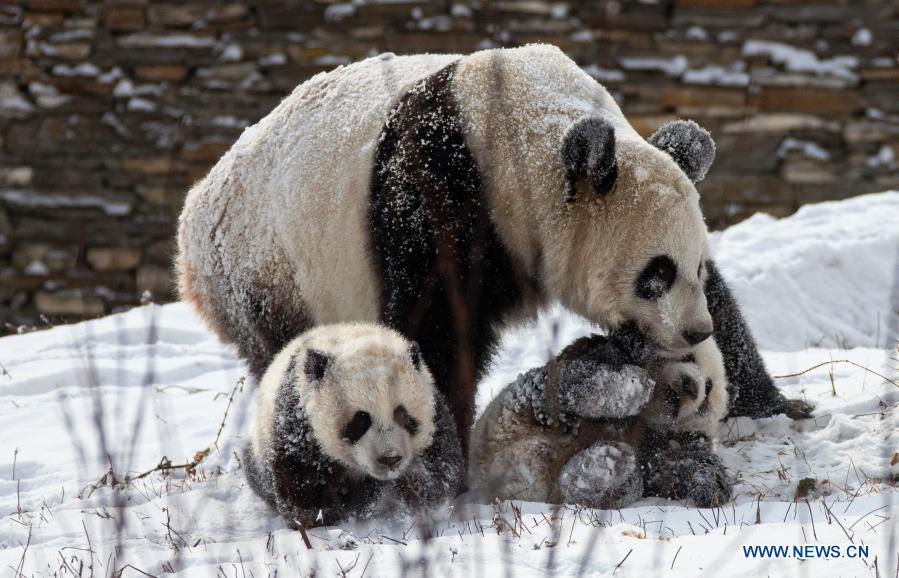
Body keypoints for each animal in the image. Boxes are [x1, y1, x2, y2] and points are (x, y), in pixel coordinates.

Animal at [179, 44, 812, 460]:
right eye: (655, 274)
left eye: (695, 267)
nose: (693, 332)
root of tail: (192, 217)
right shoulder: (435, 200)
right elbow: (434, 334)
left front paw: (770, 406)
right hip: (266, 271)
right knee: (283, 356)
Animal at [243, 322, 460, 524]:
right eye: (361, 419)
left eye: (401, 413)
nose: (390, 459)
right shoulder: (299, 419)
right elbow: (300, 471)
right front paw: (321, 515)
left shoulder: (433, 412)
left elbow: (441, 472)